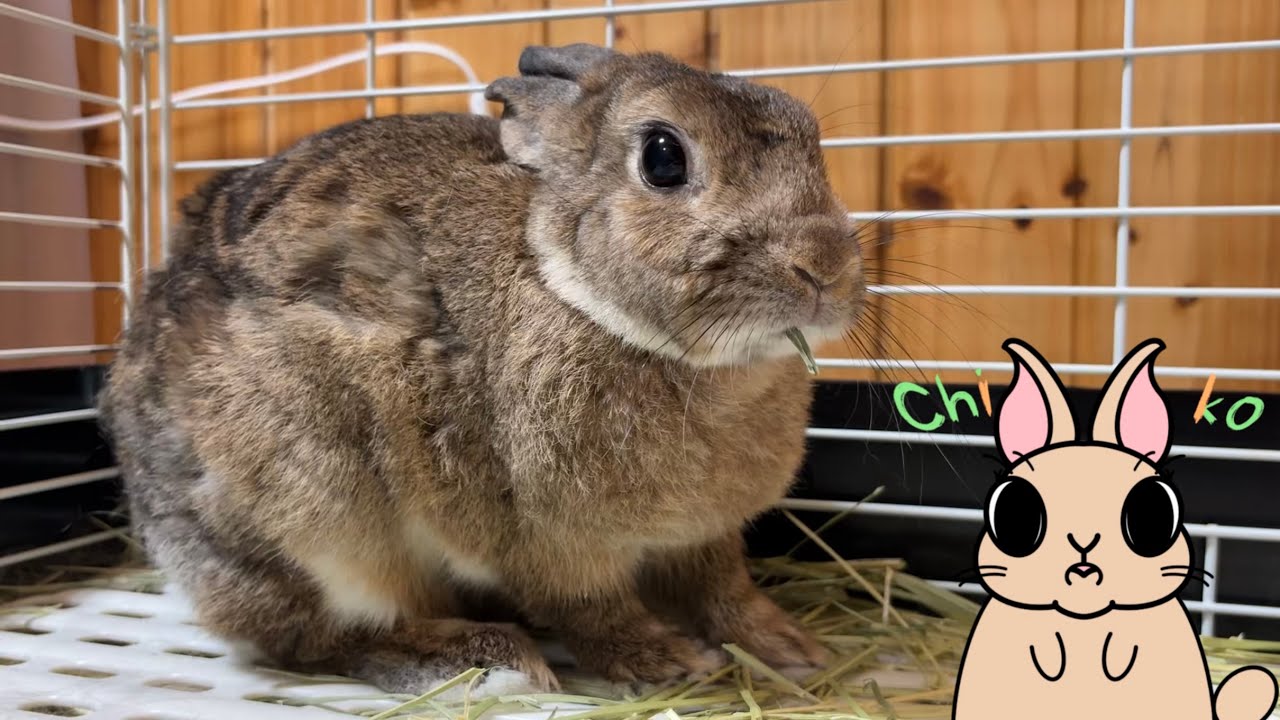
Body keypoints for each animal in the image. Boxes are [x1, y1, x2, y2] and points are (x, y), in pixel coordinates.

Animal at [97, 44, 862, 696]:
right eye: (663, 158)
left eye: (814, 143)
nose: (823, 264)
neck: (572, 288)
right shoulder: (548, 542)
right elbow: (594, 611)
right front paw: (667, 661)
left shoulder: (704, 538)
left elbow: (725, 590)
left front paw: (790, 649)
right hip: (314, 516)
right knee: (325, 638)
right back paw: (483, 659)